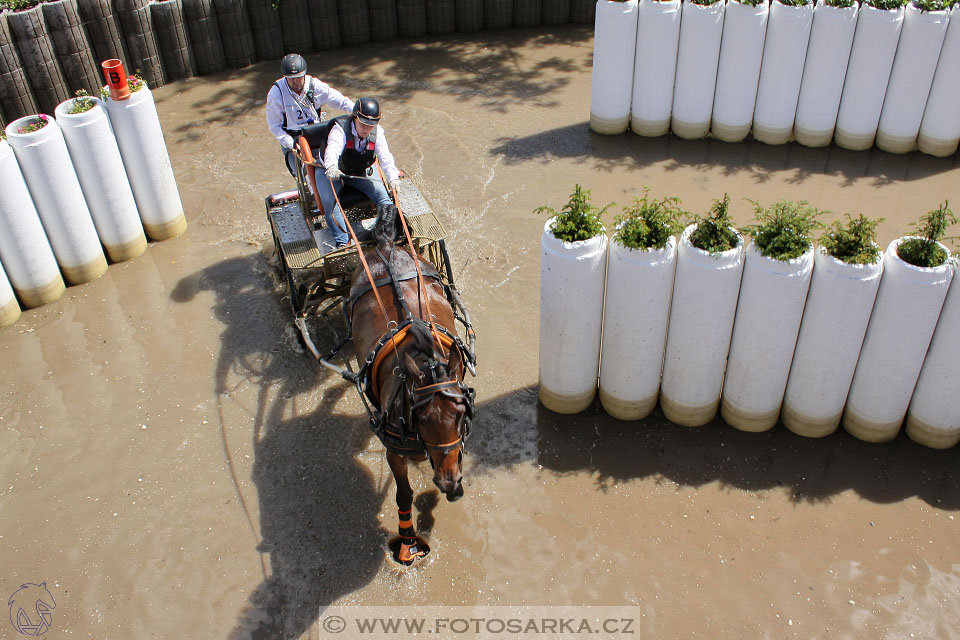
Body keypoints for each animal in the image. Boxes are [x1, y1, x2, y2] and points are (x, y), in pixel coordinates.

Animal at [348, 205, 476, 564]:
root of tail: (385, 246)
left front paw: (453, 485)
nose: (447, 482)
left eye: (459, 417)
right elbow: (403, 493)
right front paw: (408, 543)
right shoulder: (394, 449)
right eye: (422, 419)